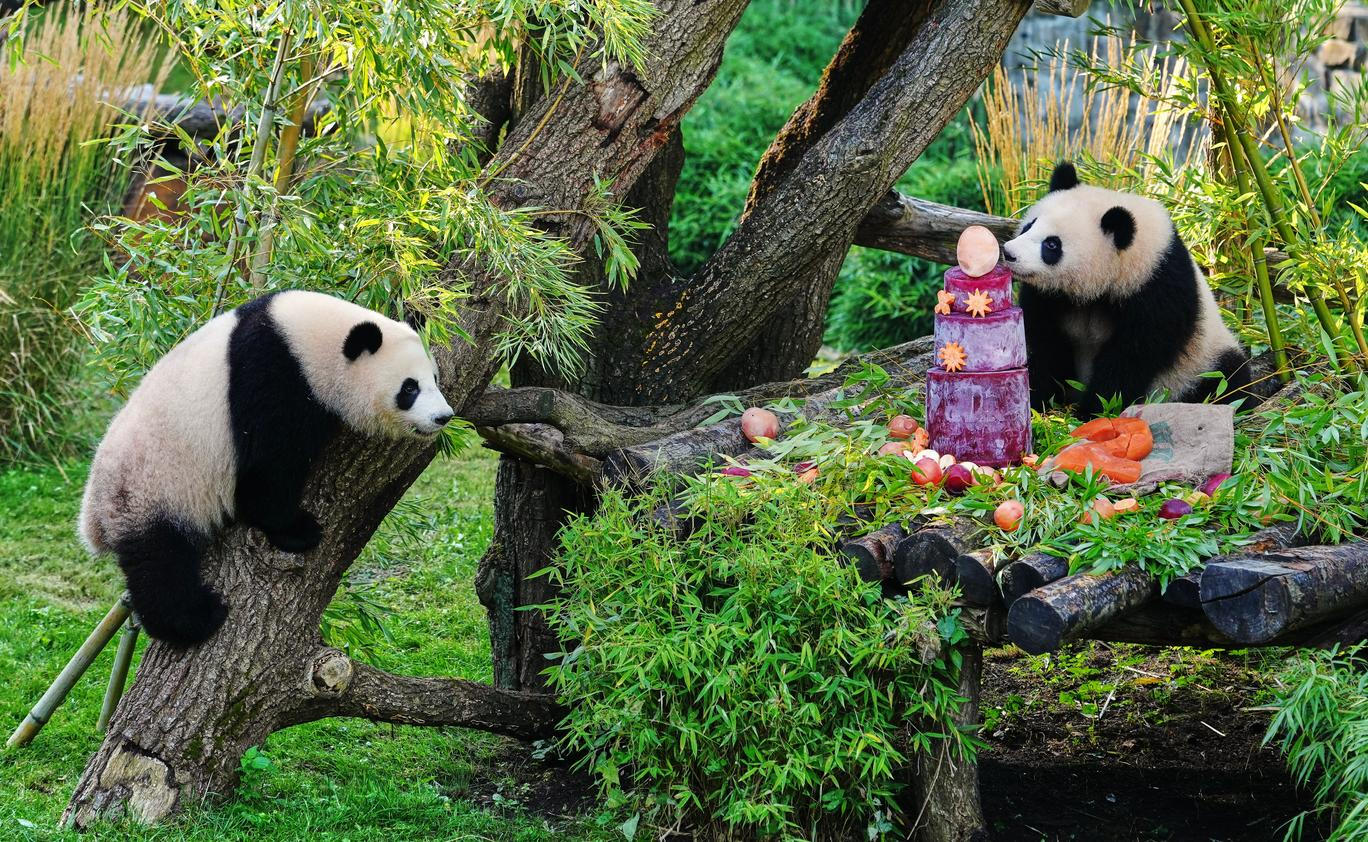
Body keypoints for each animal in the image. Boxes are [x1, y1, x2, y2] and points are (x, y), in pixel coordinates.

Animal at [79, 291, 454, 646]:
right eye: (409, 388)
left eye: (435, 379)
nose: (443, 417)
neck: (306, 338)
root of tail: (93, 516)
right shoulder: (272, 376)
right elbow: (267, 467)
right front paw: (297, 530)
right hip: (150, 488)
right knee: (159, 562)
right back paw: (195, 620)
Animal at [1002, 162, 1252, 416]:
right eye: (1029, 226)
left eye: (1052, 244)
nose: (1009, 253)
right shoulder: (1049, 297)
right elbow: (1041, 340)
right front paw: (1036, 400)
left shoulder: (1157, 286)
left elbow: (1135, 355)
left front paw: (1094, 409)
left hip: (1201, 362)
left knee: (1228, 382)